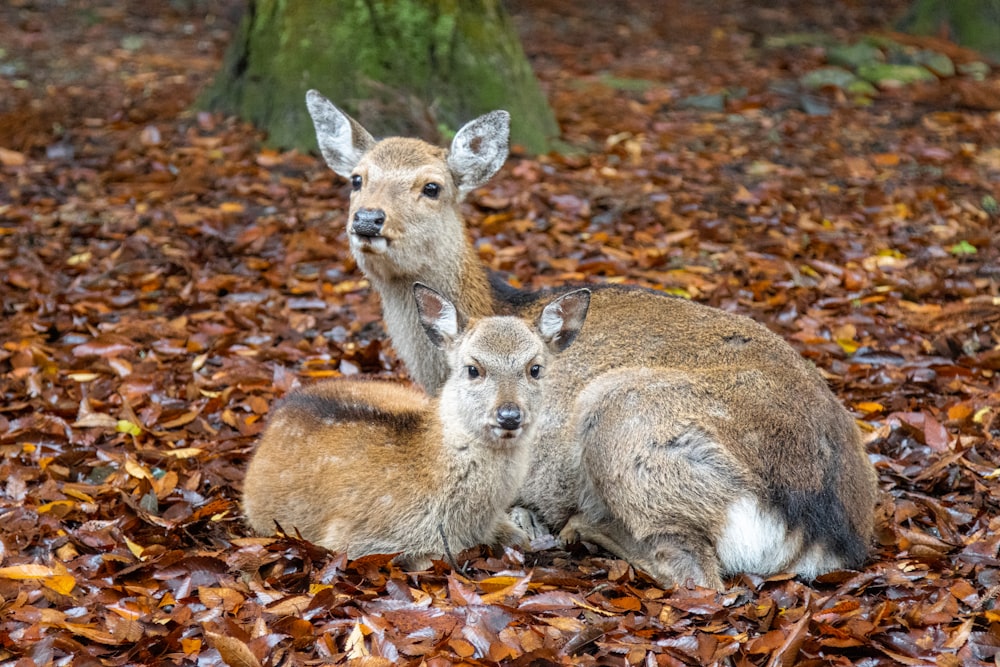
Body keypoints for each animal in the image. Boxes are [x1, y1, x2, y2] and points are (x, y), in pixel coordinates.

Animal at [302, 90, 876, 588]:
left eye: (432, 186)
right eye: (356, 179)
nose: (368, 220)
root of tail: (819, 526)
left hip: (624, 415)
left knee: (695, 572)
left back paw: (580, 528)